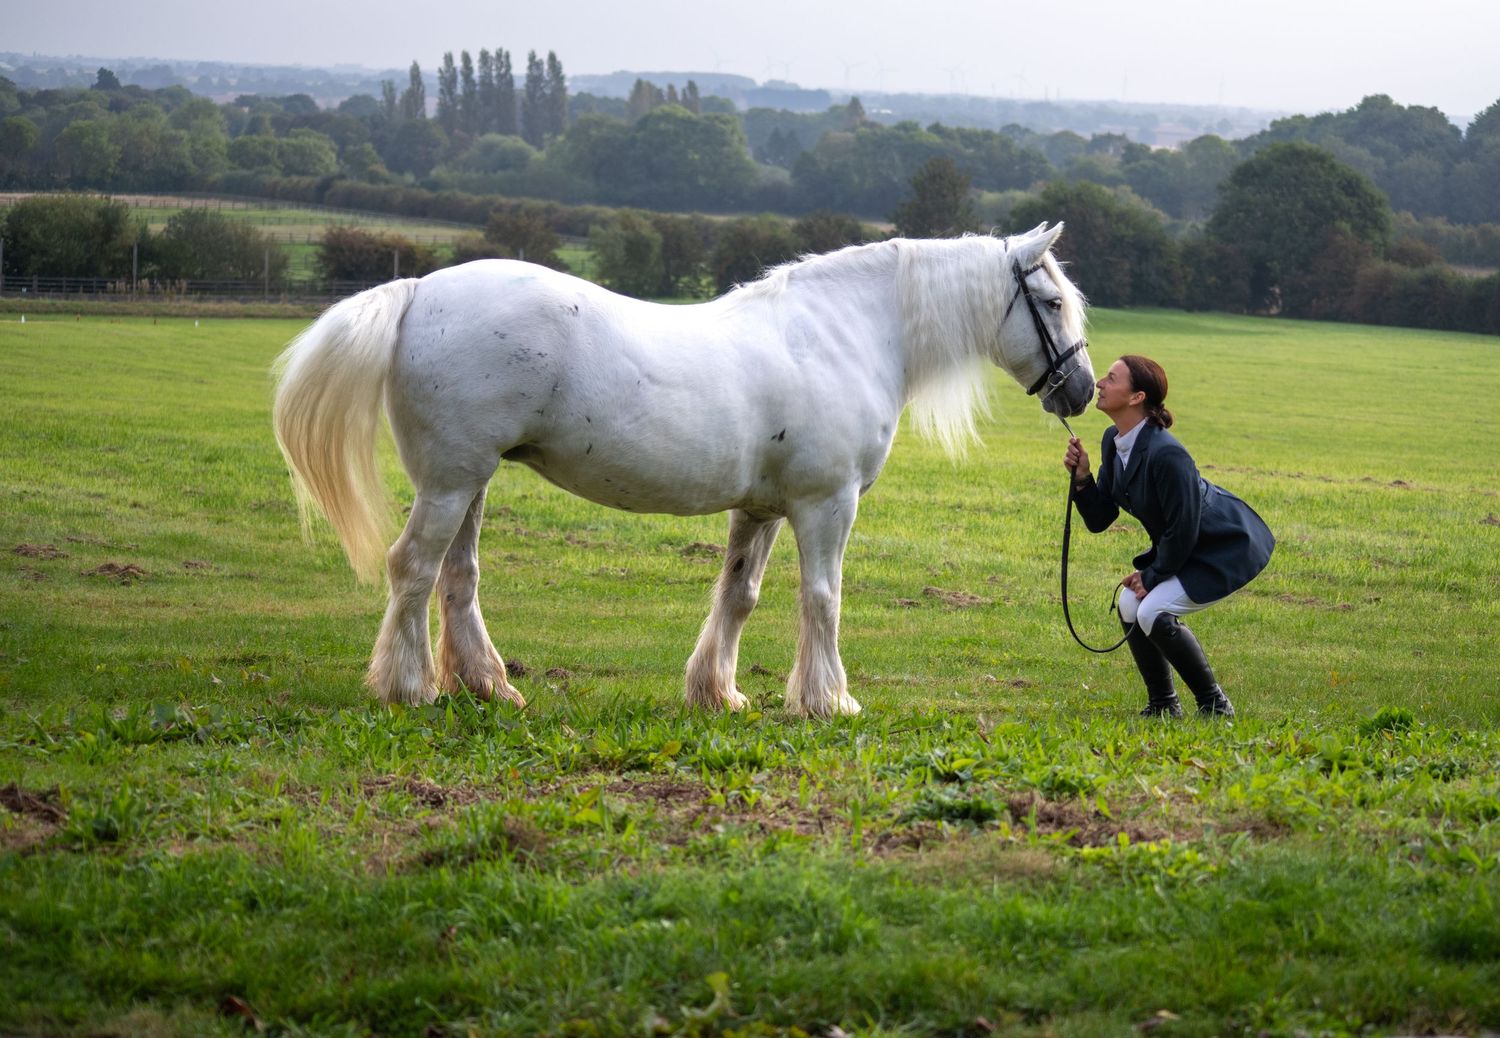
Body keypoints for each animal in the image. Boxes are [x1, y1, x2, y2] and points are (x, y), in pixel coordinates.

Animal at [272, 222, 1095, 718]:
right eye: (1052, 301)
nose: (1084, 390)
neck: (847, 333)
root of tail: (419, 293)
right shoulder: (826, 506)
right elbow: (822, 600)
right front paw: (828, 700)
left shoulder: (760, 509)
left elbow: (739, 596)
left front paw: (717, 693)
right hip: (449, 483)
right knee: (412, 568)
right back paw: (410, 687)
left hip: (471, 482)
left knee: (456, 578)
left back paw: (490, 684)